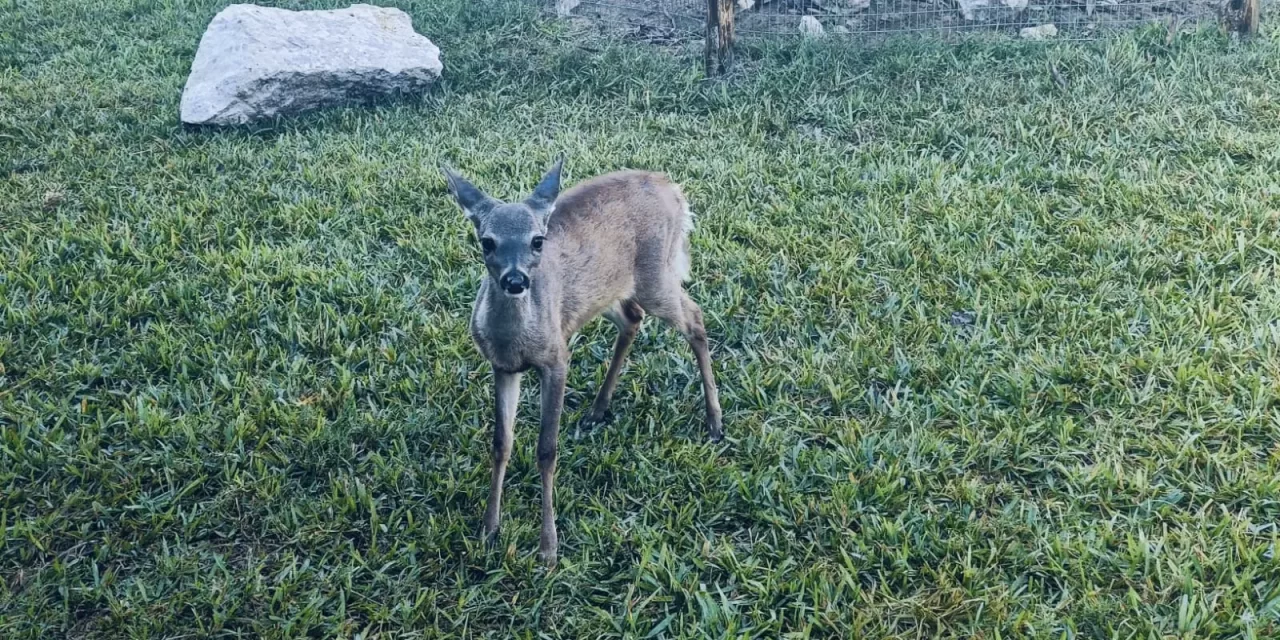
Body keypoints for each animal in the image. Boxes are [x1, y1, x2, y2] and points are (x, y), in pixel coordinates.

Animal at [440, 156, 721, 565]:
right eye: (487, 241)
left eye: (537, 240)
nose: (515, 281)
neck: (516, 341)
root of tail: (673, 189)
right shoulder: (503, 366)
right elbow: (500, 442)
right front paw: (489, 530)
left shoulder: (557, 359)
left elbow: (546, 450)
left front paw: (548, 549)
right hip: (607, 290)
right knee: (633, 318)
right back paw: (598, 409)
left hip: (656, 275)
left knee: (695, 318)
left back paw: (715, 422)